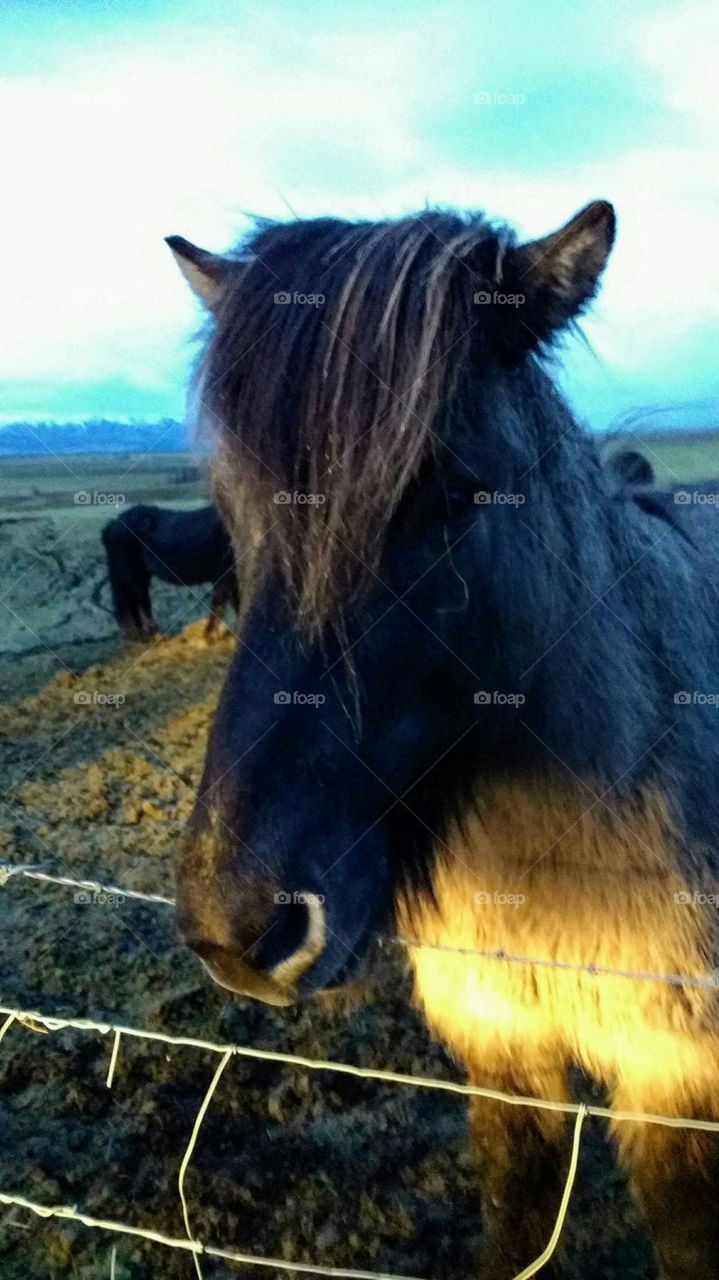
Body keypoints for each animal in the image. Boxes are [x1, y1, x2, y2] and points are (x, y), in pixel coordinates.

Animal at [101, 499, 236, 640]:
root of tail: (112, 524)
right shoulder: (225, 576)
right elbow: (219, 604)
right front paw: (210, 635)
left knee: (130, 604)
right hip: (135, 575)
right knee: (141, 603)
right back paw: (155, 635)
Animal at [166, 204, 716, 1274]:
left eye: (453, 491)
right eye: (232, 506)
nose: (237, 929)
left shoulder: (673, 1083)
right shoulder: (503, 1046)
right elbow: (512, 1218)